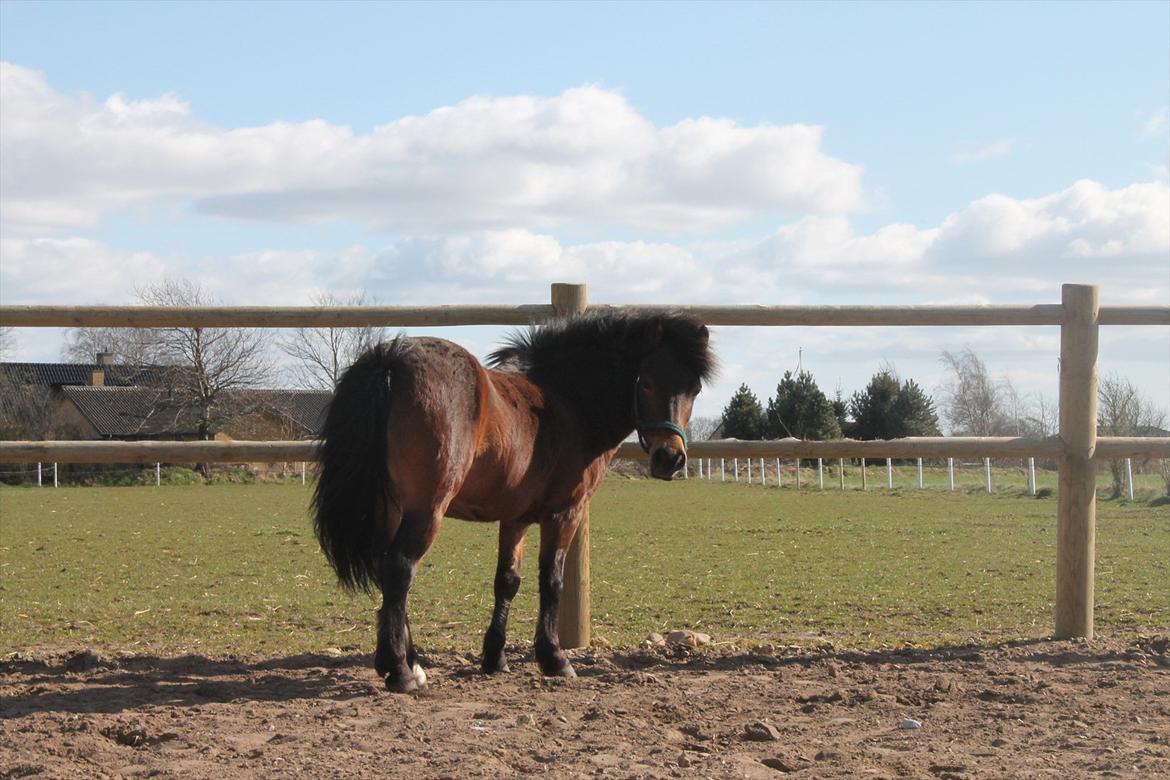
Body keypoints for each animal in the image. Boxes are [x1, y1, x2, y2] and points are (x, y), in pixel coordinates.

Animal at [313, 308, 711, 687]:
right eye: (647, 382)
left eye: (694, 389)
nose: (670, 458)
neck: (565, 402)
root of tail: (391, 360)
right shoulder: (564, 514)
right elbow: (552, 581)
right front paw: (555, 659)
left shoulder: (515, 517)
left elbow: (507, 581)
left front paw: (495, 658)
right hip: (425, 509)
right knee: (399, 569)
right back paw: (401, 671)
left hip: (390, 509)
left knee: (387, 571)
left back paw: (406, 662)